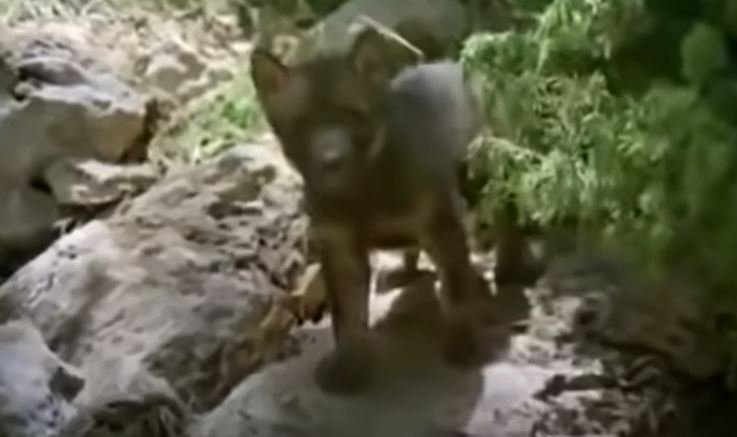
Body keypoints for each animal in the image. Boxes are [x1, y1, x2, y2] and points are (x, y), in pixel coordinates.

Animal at [250, 26, 494, 394]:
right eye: (302, 124)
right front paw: (349, 364)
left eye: (352, 114)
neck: (361, 194)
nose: (331, 160)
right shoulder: (339, 250)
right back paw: (400, 271)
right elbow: (347, 315)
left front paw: (461, 341)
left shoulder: (441, 223)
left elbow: (453, 290)